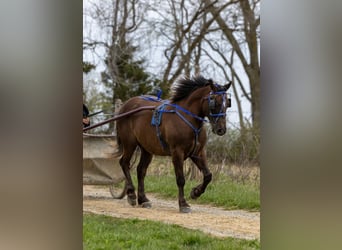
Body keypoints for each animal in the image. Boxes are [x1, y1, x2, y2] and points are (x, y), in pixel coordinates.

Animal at [116, 74, 231, 213]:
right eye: (214, 102)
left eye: (227, 103)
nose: (221, 129)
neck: (188, 119)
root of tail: (126, 105)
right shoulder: (177, 152)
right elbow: (180, 179)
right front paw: (183, 204)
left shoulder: (198, 152)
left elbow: (208, 175)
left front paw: (196, 192)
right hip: (129, 143)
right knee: (124, 163)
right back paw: (131, 194)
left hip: (147, 148)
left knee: (141, 170)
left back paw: (143, 199)